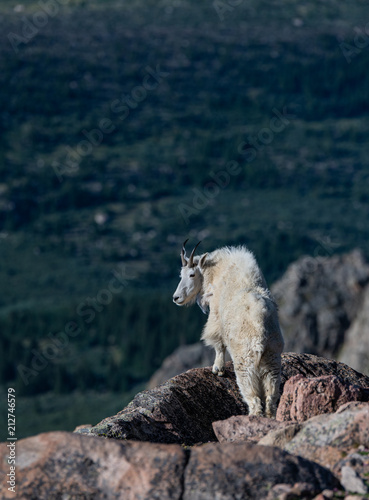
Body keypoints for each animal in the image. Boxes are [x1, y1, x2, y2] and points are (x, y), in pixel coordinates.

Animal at [173, 239, 284, 418]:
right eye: (180, 275)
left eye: (192, 274)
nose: (176, 298)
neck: (216, 271)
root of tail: (260, 330)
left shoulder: (216, 315)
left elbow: (218, 342)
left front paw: (217, 369)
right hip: (272, 359)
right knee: (270, 400)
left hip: (245, 360)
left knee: (253, 399)